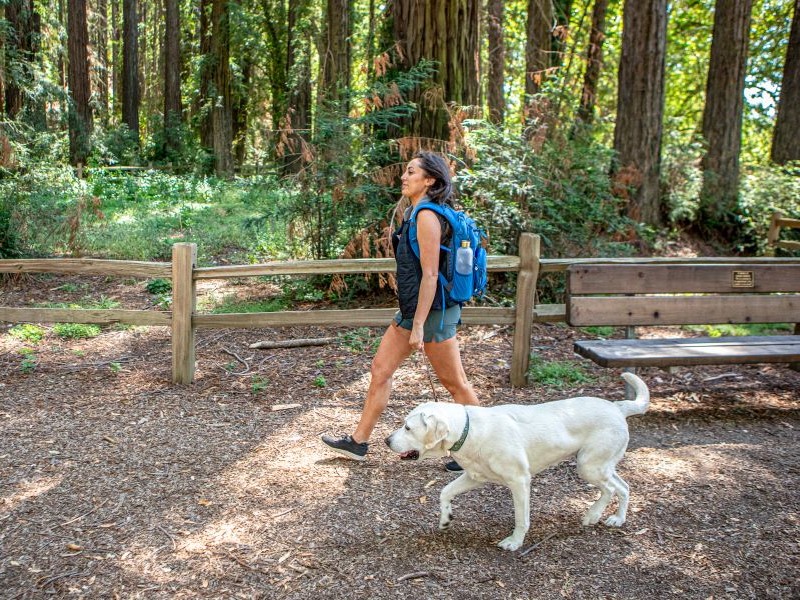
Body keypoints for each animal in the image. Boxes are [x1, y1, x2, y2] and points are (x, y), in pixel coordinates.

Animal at [386, 372, 648, 552]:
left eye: (407, 427)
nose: (387, 440)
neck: (468, 430)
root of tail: (617, 407)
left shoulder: (520, 482)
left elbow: (522, 518)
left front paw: (514, 542)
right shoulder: (474, 477)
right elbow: (444, 492)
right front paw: (445, 519)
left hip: (588, 466)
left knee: (611, 489)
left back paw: (593, 515)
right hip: (600, 466)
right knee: (624, 486)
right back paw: (617, 519)